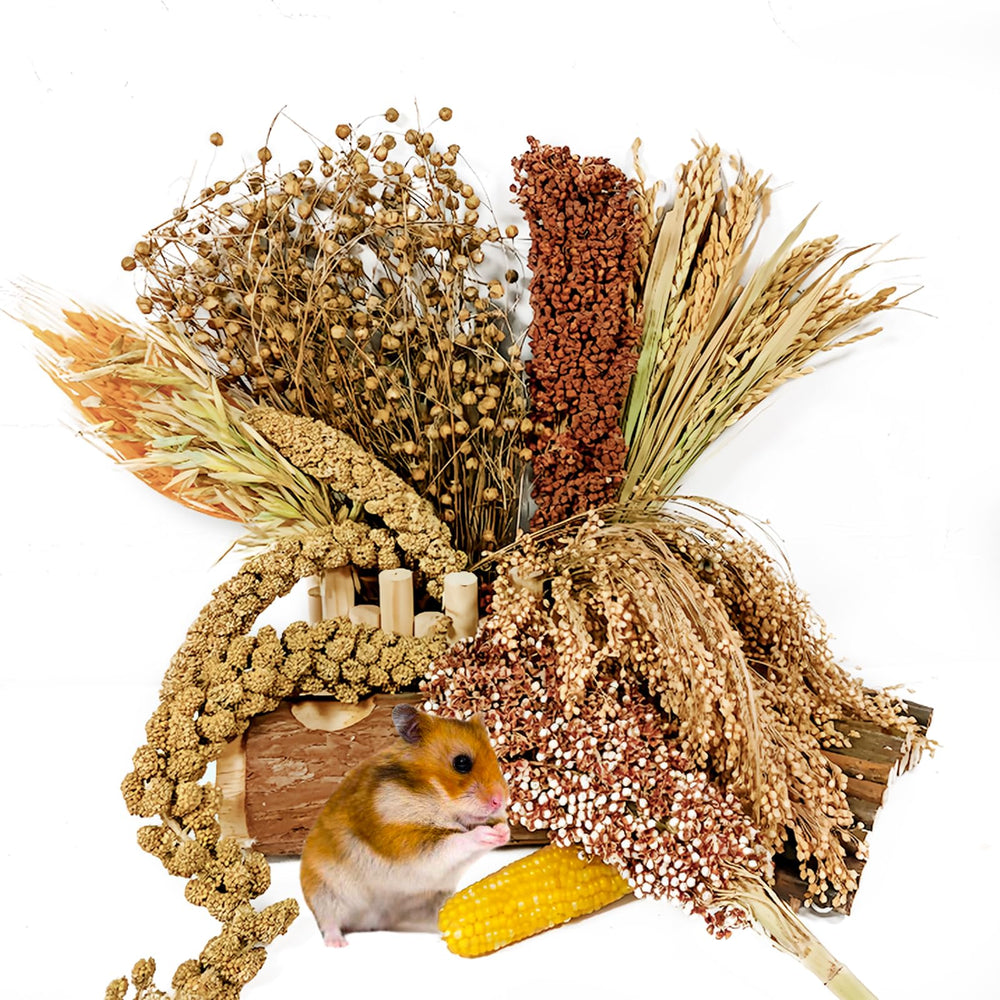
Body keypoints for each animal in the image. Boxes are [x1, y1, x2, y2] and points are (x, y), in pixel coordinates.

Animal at [299, 703, 510, 947]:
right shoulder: (405, 842)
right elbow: (456, 841)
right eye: (462, 763)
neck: (433, 796)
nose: (500, 801)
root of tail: (369, 922)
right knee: (329, 923)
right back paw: (338, 944)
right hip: (323, 894)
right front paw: (486, 833)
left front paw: (504, 831)